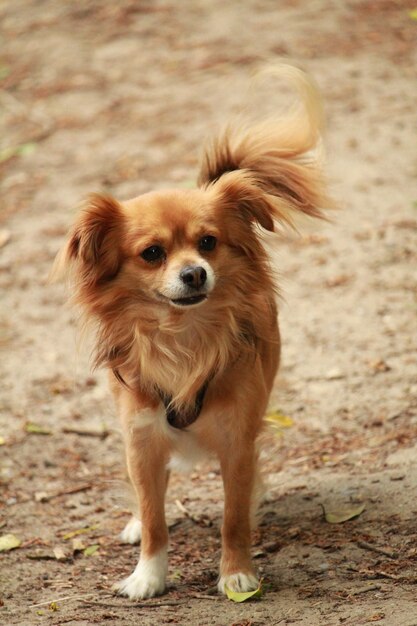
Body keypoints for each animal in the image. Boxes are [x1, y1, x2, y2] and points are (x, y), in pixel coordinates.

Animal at [53, 66, 330, 596]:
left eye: (208, 242)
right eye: (152, 253)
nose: (195, 273)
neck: (182, 336)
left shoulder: (237, 439)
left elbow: (233, 517)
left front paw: (237, 573)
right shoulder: (142, 437)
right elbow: (154, 517)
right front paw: (148, 575)